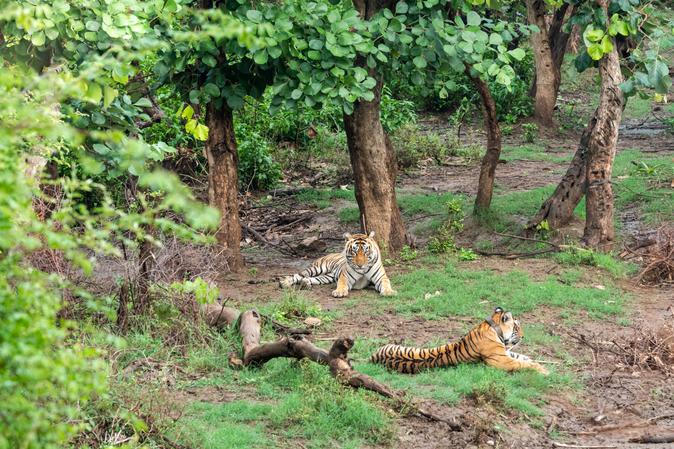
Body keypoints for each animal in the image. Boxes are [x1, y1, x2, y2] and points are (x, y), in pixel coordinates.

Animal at [371, 307, 548, 375]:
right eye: (517, 327)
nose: (523, 336)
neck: (492, 327)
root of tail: (373, 357)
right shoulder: (502, 361)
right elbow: (522, 363)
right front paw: (544, 371)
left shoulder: (505, 353)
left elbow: (524, 358)